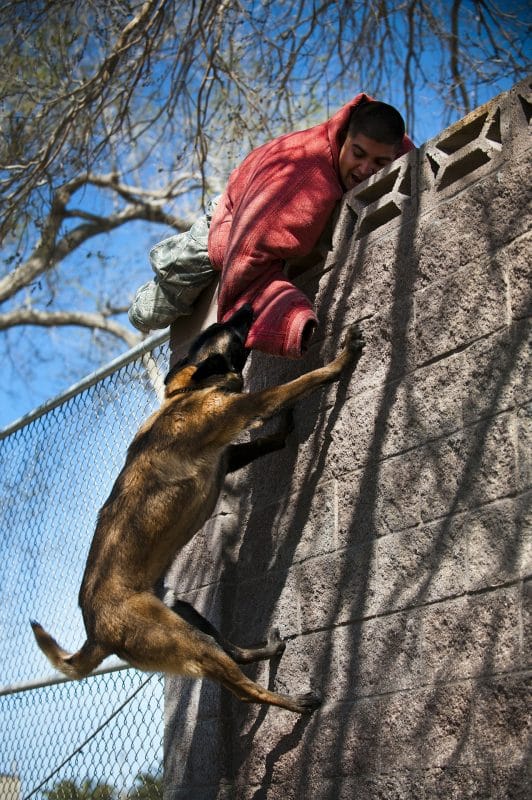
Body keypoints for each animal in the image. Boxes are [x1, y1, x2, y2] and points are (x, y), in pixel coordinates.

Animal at [32, 304, 366, 712]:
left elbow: (263, 442)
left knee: (233, 652)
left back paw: (266, 650)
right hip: (188, 642)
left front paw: (282, 432)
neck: (190, 391)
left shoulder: (226, 454)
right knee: (243, 689)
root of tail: (97, 635)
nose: (246, 307)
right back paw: (292, 703)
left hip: (185, 613)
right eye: (230, 328)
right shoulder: (246, 408)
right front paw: (340, 361)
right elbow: (299, 383)